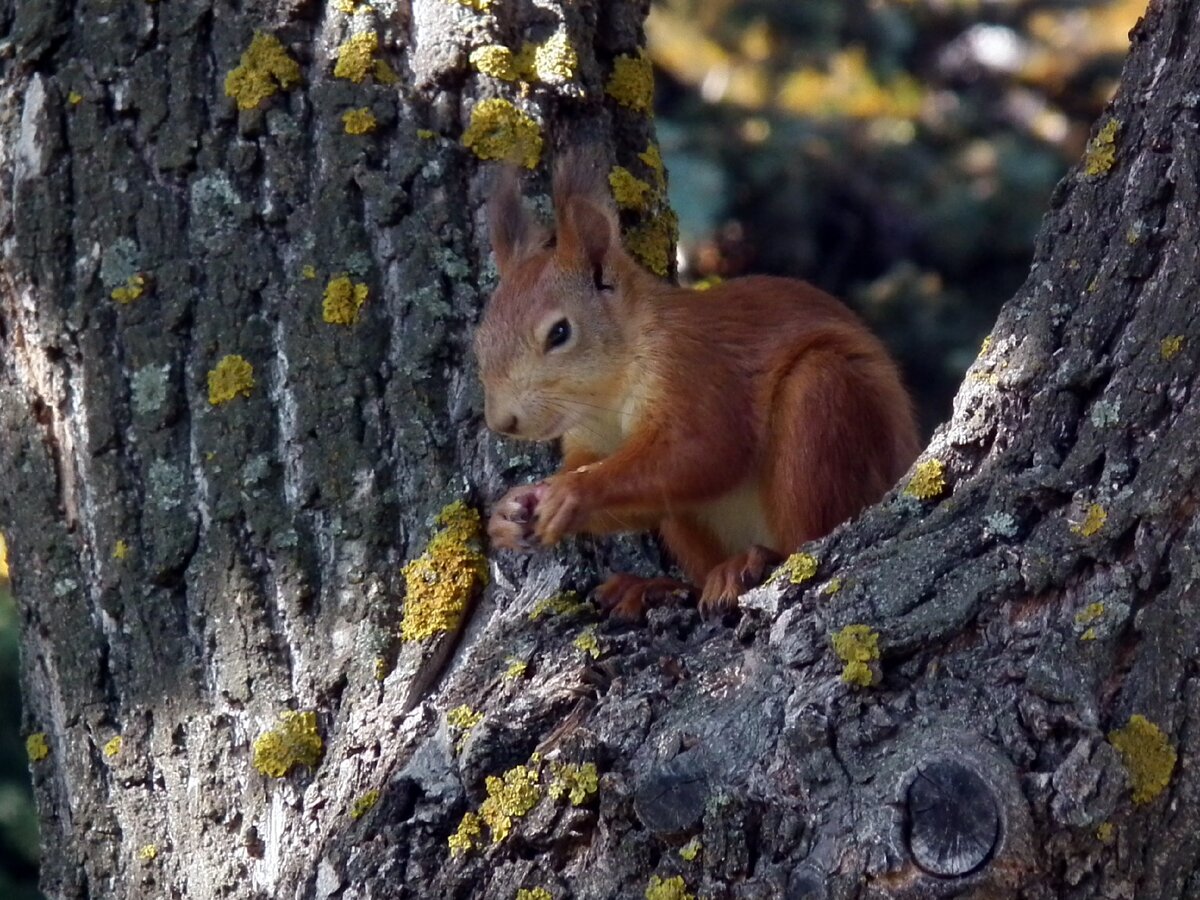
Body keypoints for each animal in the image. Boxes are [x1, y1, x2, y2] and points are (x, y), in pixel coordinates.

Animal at [475, 154, 916, 619]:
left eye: (559, 333)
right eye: (479, 341)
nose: (502, 421)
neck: (605, 393)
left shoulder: (694, 367)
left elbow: (706, 450)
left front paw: (572, 492)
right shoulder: (591, 437)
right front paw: (510, 510)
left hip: (823, 399)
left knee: (805, 536)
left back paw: (751, 562)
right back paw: (654, 585)